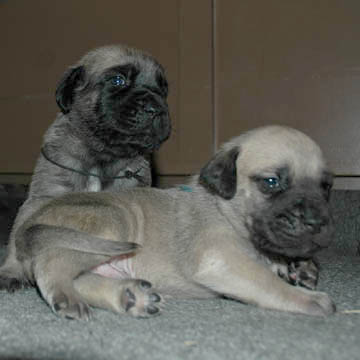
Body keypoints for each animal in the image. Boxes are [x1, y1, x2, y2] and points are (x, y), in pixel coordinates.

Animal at [0, 45, 171, 292]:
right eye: (118, 80)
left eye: (162, 89)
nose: (156, 108)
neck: (103, 154)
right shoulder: (42, 198)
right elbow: (18, 234)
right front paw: (11, 272)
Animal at [9, 126, 334, 318]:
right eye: (271, 182)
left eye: (326, 186)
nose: (316, 221)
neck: (224, 208)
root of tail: (30, 223)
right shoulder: (222, 259)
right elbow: (265, 280)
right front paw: (307, 298)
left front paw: (299, 268)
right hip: (112, 225)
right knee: (52, 264)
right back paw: (68, 296)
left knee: (80, 276)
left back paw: (129, 296)